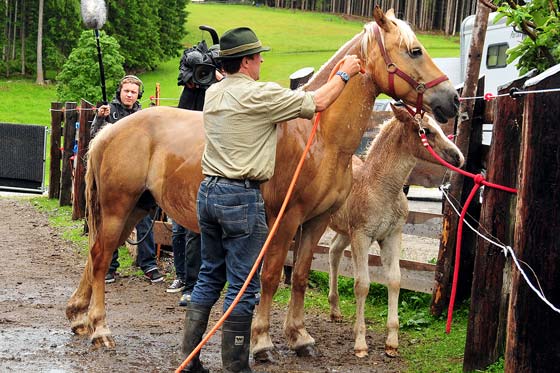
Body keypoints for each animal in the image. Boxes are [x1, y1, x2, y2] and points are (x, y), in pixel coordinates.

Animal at [328, 104, 464, 358]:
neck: (380, 188)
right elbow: (362, 284)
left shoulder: (391, 236)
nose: (458, 157)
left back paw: (335, 311)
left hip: (343, 231)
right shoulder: (361, 236)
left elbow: (394, 280)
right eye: (426, 131)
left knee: (333, 252)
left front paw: (391, 342)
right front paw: (360, 343)